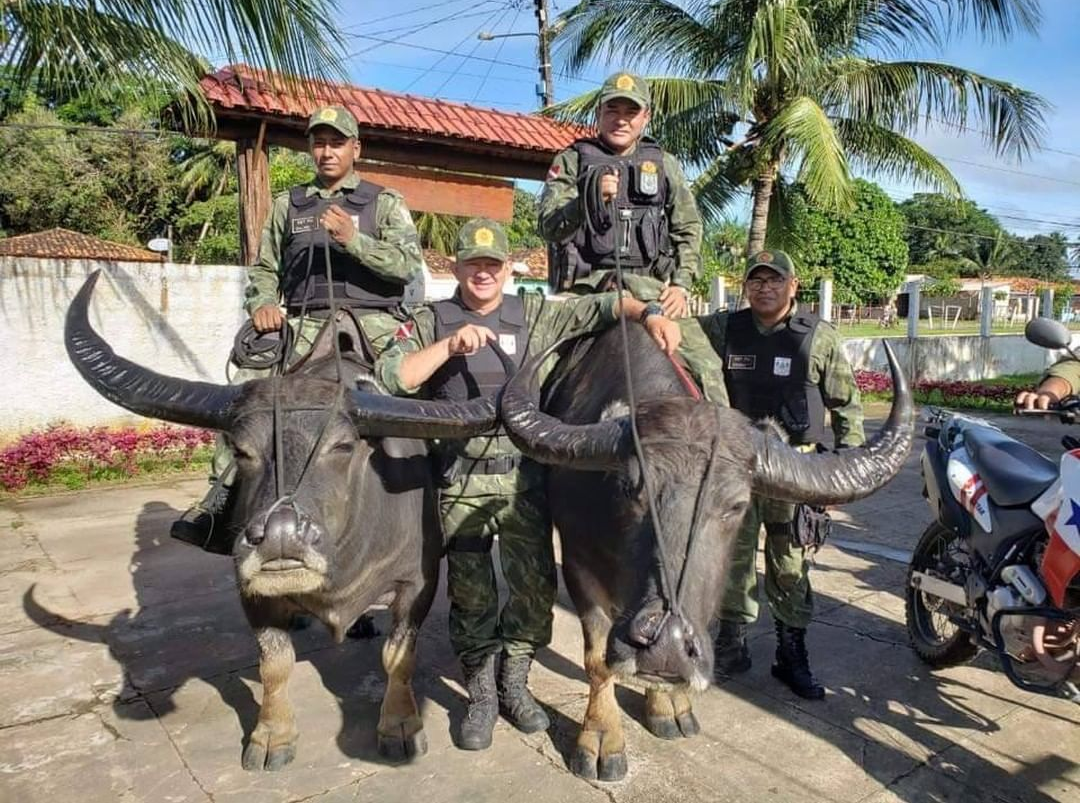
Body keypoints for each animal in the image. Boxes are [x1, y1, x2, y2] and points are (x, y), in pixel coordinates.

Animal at [65, 274, 503, 772]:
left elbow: (399, 657)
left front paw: (400, 727)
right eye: (240, 449)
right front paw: (272, 737)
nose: (281, 539)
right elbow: (274, 663)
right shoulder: (250, 589)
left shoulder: (417, 583)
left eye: (343, 446)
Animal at [498, 323, 911, 781]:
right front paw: (601, 739)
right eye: (628, 487)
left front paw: (668, 706)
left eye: (735, 505)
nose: (667, 643)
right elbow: (597, 658)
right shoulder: (577, 563)